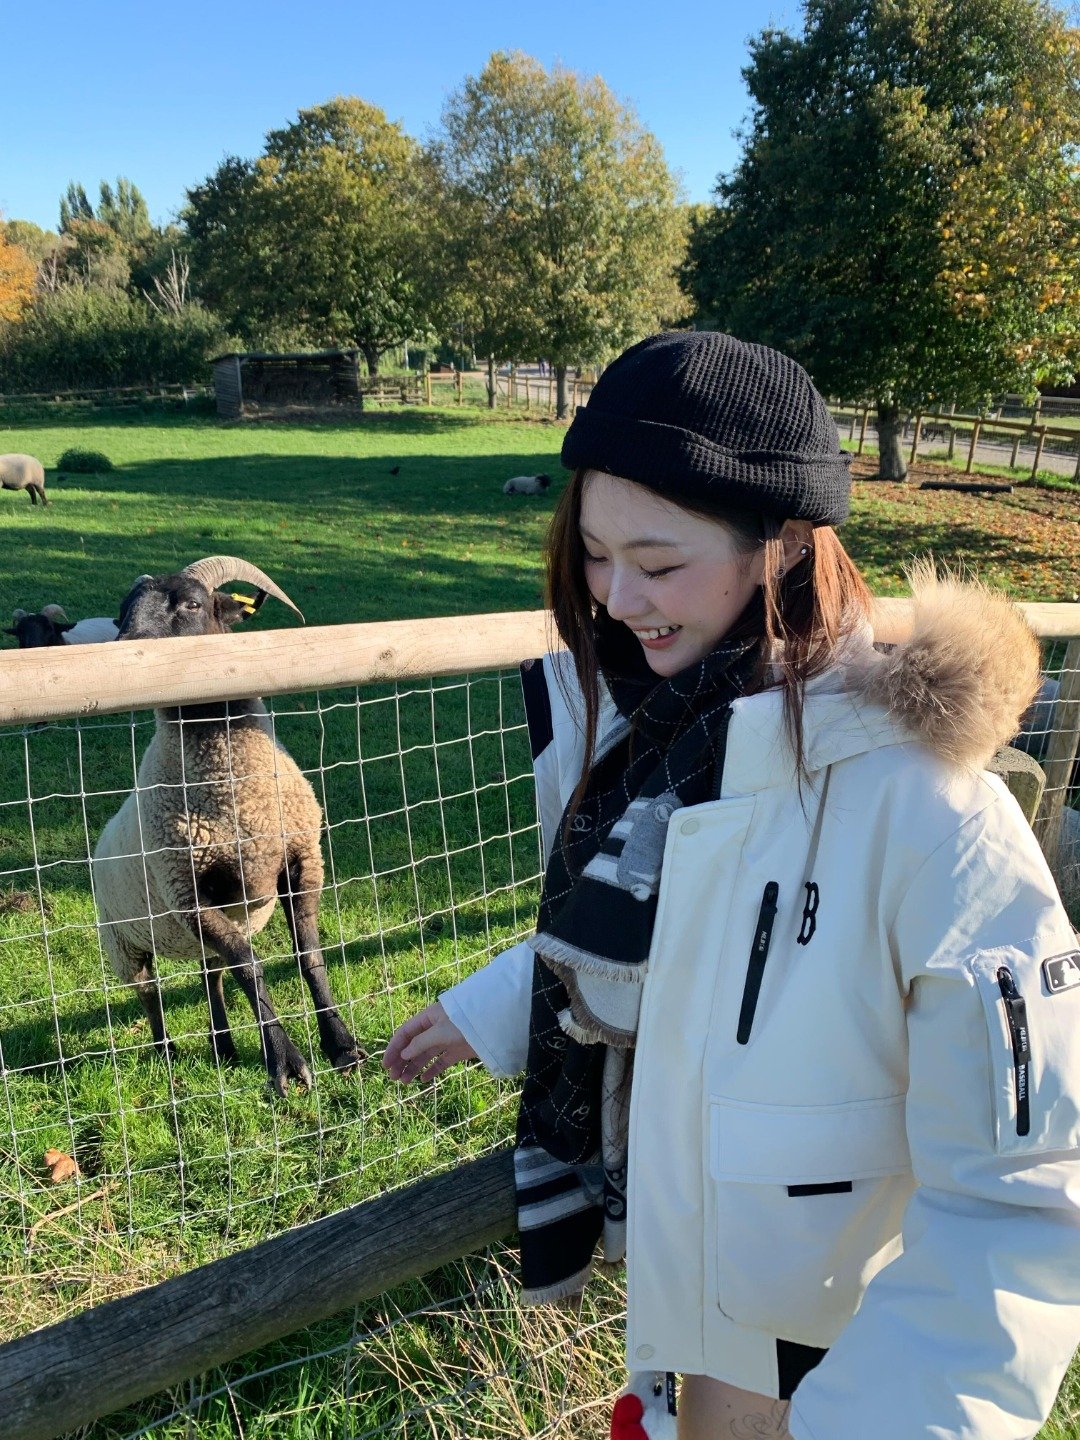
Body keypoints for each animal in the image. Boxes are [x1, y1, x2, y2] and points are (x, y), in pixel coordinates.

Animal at [92, 556, 363, 1095]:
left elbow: (308, 956)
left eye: (193, 604)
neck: (237, 799)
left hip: (202, 927)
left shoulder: (302, 862)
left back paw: (222, 1046)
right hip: (123, 941)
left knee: (209, 974)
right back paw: (167, 1051)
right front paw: (286, 1065)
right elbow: (251, 967)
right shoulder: (186, 890)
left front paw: (342, 1046)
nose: (123, 650)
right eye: (121, 613)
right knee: (150, 991)